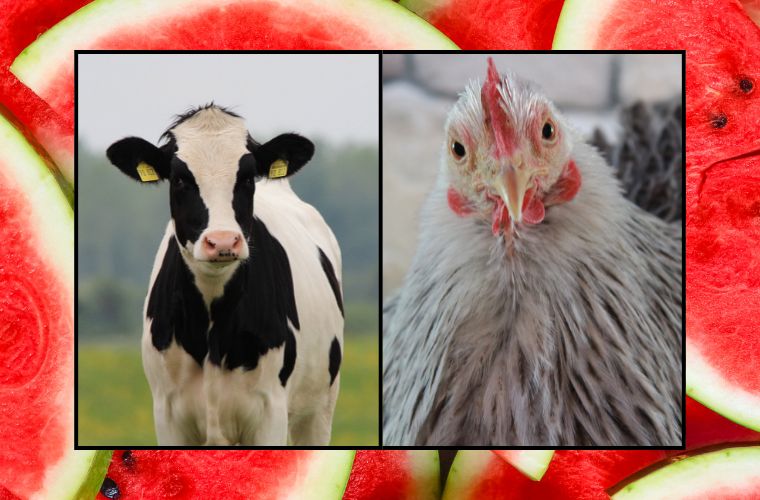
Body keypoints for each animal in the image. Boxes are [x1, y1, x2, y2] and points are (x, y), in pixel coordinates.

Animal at [106, 104, 344, 446]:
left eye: (246, 178)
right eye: (180, 179)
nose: (222, 241)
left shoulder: (270, 411)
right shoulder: (167, 414)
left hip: (319, 408)